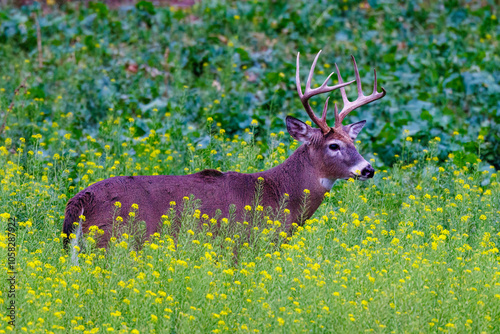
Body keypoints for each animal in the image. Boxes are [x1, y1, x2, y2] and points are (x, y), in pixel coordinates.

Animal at [63, 49, 386, 253]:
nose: (368, 169)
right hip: (110, 243)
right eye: (334, 145)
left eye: (354, 143)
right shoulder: (242, 246)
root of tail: (80, 200)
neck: (280, 193)